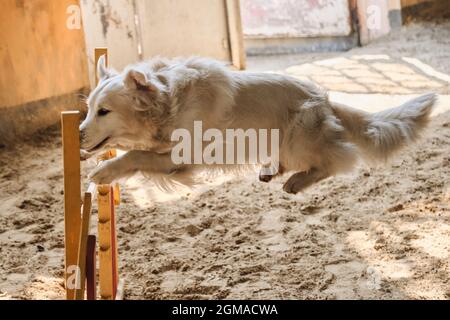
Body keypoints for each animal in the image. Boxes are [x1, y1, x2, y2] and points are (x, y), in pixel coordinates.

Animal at [79, 56, 434, 194]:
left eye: (104, 111)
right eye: (88, 110)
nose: (77, 133)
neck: (169, 103)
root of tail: (324, 99)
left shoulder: (182, 157)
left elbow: (135, 156)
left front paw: (103, 173)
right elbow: (135, 152)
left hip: (298, 136)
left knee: (337, 160)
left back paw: (296, 181)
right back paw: (270, 170)